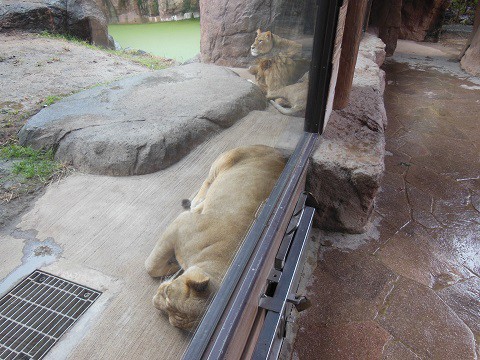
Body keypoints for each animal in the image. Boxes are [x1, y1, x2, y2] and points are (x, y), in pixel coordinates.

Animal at [144, 145, 284, 330]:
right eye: (167, 293)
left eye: (170, 316)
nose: (154, 301)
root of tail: (278, 152)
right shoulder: (180, 223)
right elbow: (151, 266)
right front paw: (173, 266)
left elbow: (153, 267)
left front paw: (173, 267)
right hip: (223, 163)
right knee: (207, 183)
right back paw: (196, 202)